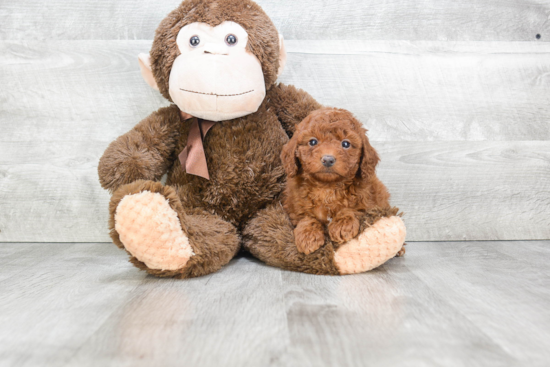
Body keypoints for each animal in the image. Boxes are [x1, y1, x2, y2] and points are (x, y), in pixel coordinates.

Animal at [282, 108, 394, 254]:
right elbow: (306, 217)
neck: (327, 187)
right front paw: (308, 235)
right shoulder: (295, 206)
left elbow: (352, 209)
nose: (328, 159)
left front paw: (342, 225)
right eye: (313, 142)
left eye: (345, 144)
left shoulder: (367, 203)